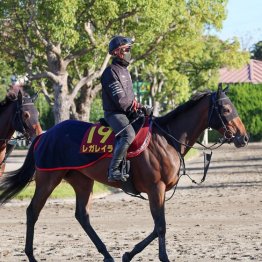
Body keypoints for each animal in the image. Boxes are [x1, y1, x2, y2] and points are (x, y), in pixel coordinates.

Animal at [0, 86, 248, 262]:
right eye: (226, 109)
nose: (243, 137)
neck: (166, 139)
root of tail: (45, 135)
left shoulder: (157, 191)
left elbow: (158, 226)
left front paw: (128, 254)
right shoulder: (155, 188)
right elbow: (160, 225)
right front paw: (161, 257)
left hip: (82, 181)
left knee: (82, 215)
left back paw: (106, 254)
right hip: (48, 179)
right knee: (33, 211)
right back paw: (31, 255)